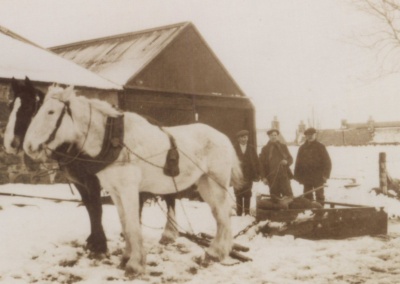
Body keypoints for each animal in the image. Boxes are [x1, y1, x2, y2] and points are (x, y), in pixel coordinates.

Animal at [24, 85, 244, 276]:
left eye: (51, 112)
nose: (28, 147)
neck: (115, 141)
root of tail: (224, 137)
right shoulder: (115, 191)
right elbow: (124, 223)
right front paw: (126, 257)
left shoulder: (128, 189)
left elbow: (131, 224)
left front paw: (135, 264)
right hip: (205, 183)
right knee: (220, 214)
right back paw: (216, 252)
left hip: (216, 182)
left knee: (223, 214)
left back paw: (217, 252)